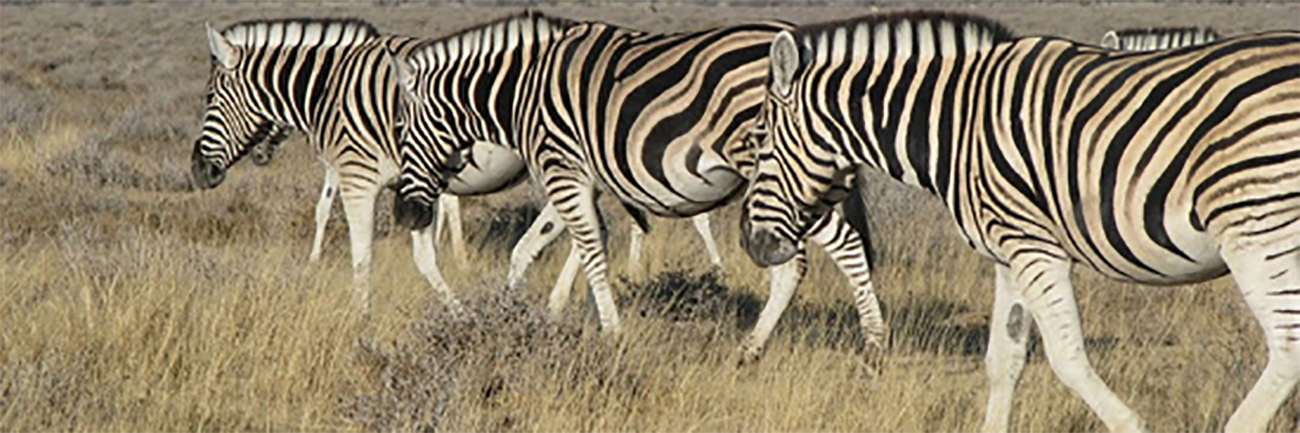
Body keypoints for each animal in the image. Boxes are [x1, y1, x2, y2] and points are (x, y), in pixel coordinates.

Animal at [189, 18, 733, 313]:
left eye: (210, 98)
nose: (198, 172)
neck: (332, 87)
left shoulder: (356, 173)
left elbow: (359, 250)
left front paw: (358, 313)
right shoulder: (408, 184)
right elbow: (423, 255)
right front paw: (453, 306)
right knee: (595, 226)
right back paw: (561, 300)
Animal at [384, 11, 889, 358]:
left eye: (400, 129)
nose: (407, 215)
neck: (522, 86)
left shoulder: (560, 166)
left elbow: (587, 246)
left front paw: (609, 332)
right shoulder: (582, 176)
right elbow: (550, 245)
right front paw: (533, 314)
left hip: (784, 178)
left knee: (829, 251)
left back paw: (864, 343)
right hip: (815, 184)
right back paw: (758, 345)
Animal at [743, 10, 1300, 431]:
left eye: (760, 140)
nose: (752, 244)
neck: (957, 121)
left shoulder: (1034, 247)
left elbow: (1066, 357)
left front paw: (1132, 425)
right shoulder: (1008, 254)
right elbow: (1004, 359)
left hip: (1256, 232)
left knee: (1288, 347)